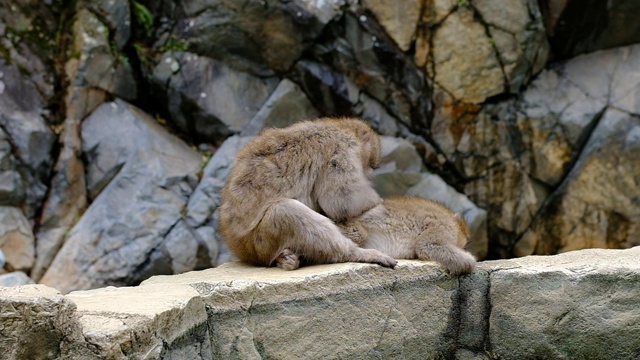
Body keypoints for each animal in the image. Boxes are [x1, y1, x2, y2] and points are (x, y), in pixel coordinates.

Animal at [221, 118, 400, 270]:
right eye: (370, 164)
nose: (369, 174)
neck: (340, 126)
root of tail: (237, 247)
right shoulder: (343, 148)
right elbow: (341, 202)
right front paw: (377, 200)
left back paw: (288, 258)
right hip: (260, 242)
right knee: (285, 211)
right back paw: (357, 253)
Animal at [336, 197, 476, 276]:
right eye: (463, 246)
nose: (464, 249)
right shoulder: (442, 225)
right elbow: (425, 245)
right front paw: (468, 261)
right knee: (360, 234)